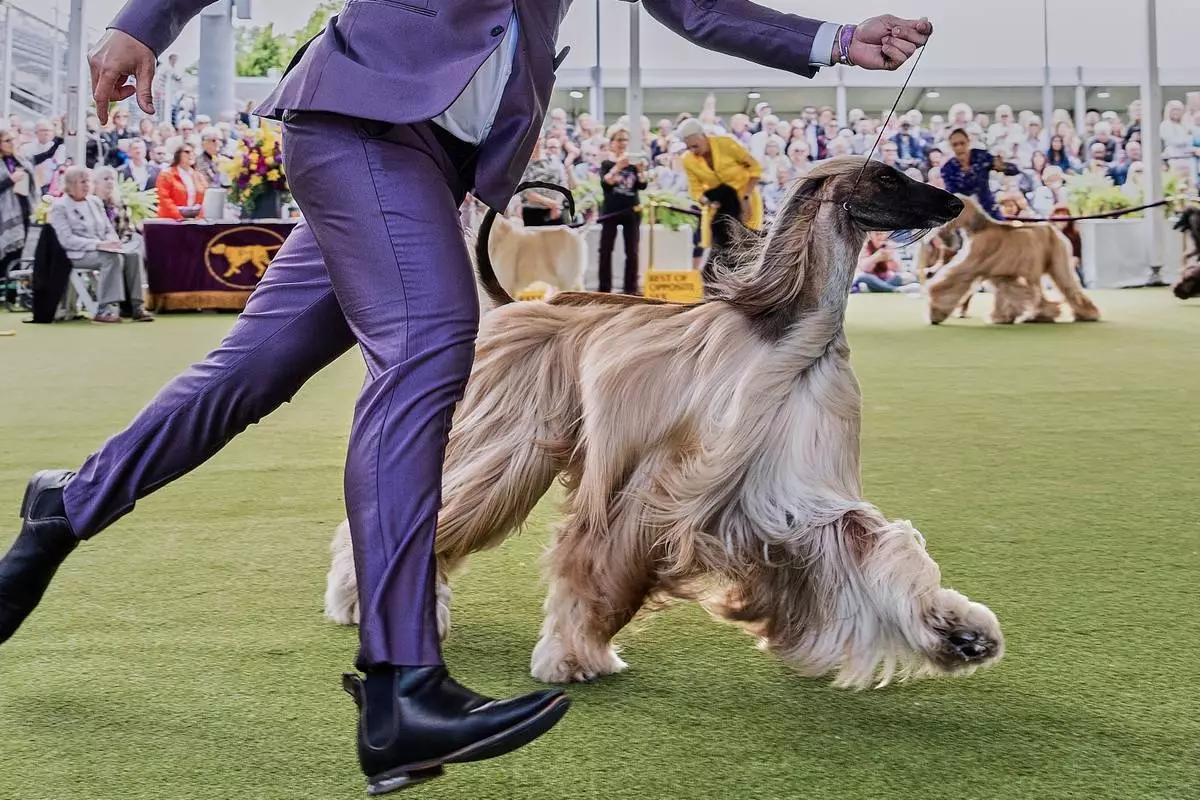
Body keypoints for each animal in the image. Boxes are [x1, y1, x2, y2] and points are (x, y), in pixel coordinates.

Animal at [326, 160, 1003, 689]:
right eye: (888, 177)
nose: (952, 201)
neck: (789, 339)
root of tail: (519, 302)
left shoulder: (794, 495)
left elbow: (871, 546)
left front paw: (960, 633)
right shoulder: (665, 479)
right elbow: (597, 561)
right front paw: (572, 655)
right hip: (506, 443)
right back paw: (359, 599)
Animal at [927, 195, 1101, 325]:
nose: (940, 236)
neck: (979, 228)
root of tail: (1054, 230)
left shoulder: (971, 267)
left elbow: (947, 285)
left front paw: (935, 313)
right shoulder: (1001, 275)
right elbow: (1009, 294)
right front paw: (1002, 317)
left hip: (1056, 266)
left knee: (1067, 289)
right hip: (1044, 269)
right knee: (1059, 291)